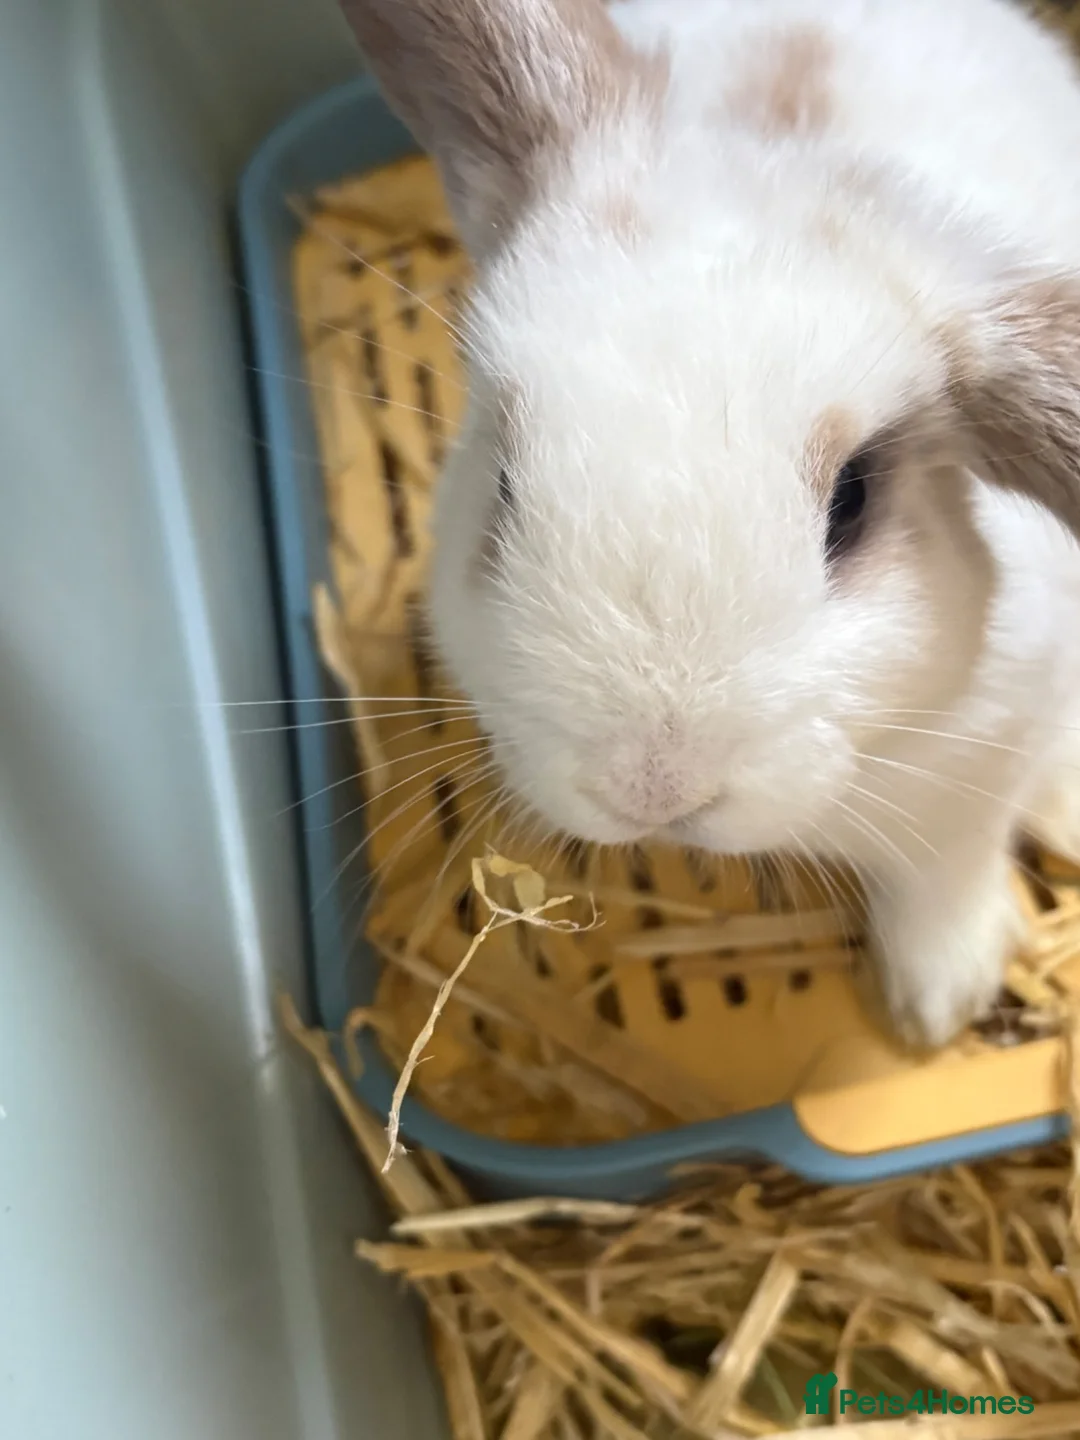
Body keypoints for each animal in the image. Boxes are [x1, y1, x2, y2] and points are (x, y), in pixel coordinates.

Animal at [338, 0, 1080, 1049]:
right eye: (507, 482)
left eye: (853, 500)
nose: (652, 790)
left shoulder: (979, 770)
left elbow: (948, 872)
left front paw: (935, 1008)